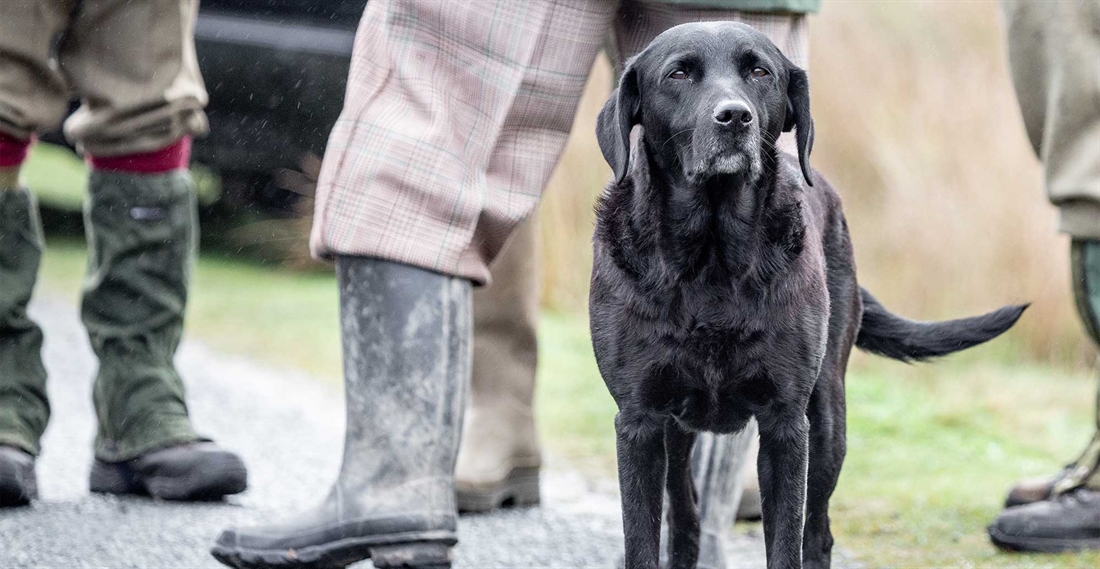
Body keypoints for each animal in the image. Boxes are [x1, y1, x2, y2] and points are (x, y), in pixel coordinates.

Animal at [589, 21, 1025, 567]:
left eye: (760, 71)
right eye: (678, 74)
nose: (735, 116)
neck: (712, 257)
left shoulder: (785, 424)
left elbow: (786, 541)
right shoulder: (640, 423)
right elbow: (642, 540)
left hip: (827, 420)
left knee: (816, 530)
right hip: (678, 434)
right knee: (685, 518)